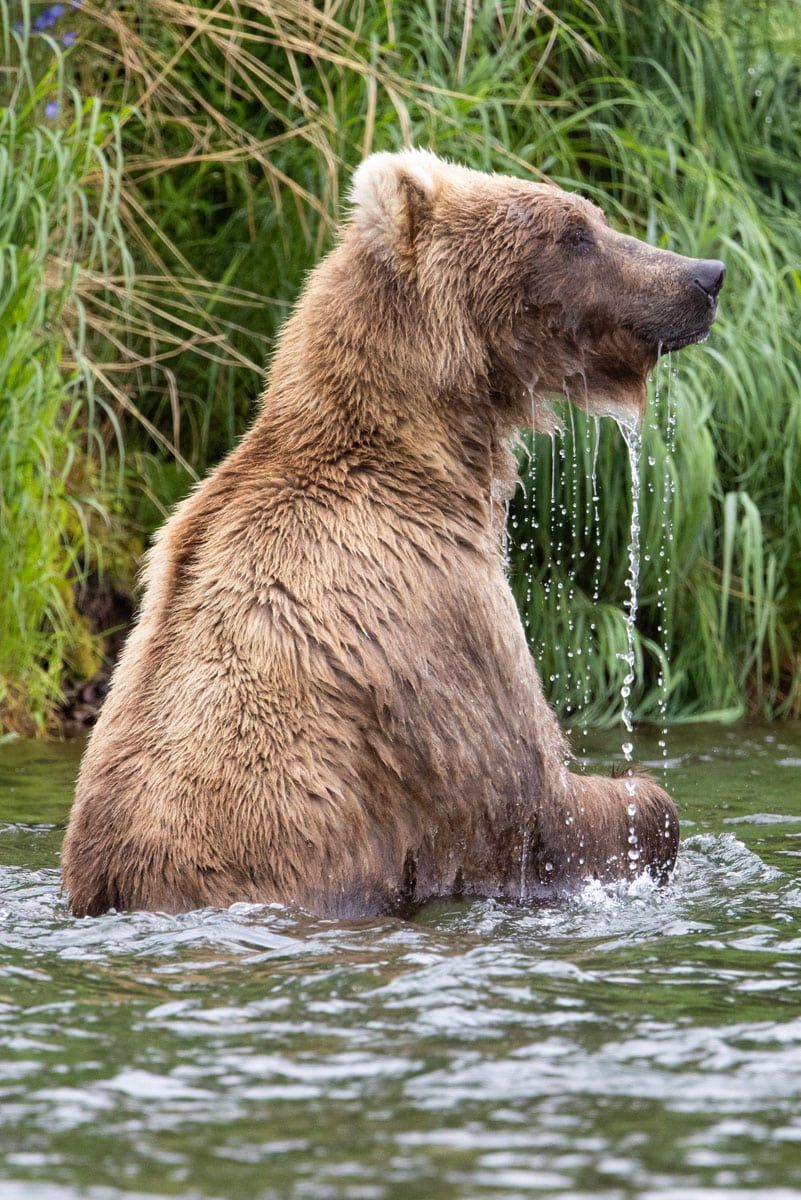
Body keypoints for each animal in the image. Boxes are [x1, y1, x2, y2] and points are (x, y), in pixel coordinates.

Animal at [62, 152, 724, 916]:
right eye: (574, 233)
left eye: (594, 217)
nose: (704, 275)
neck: (425, 453)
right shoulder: (435, 611)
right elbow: (528, 797)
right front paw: (639, 799)